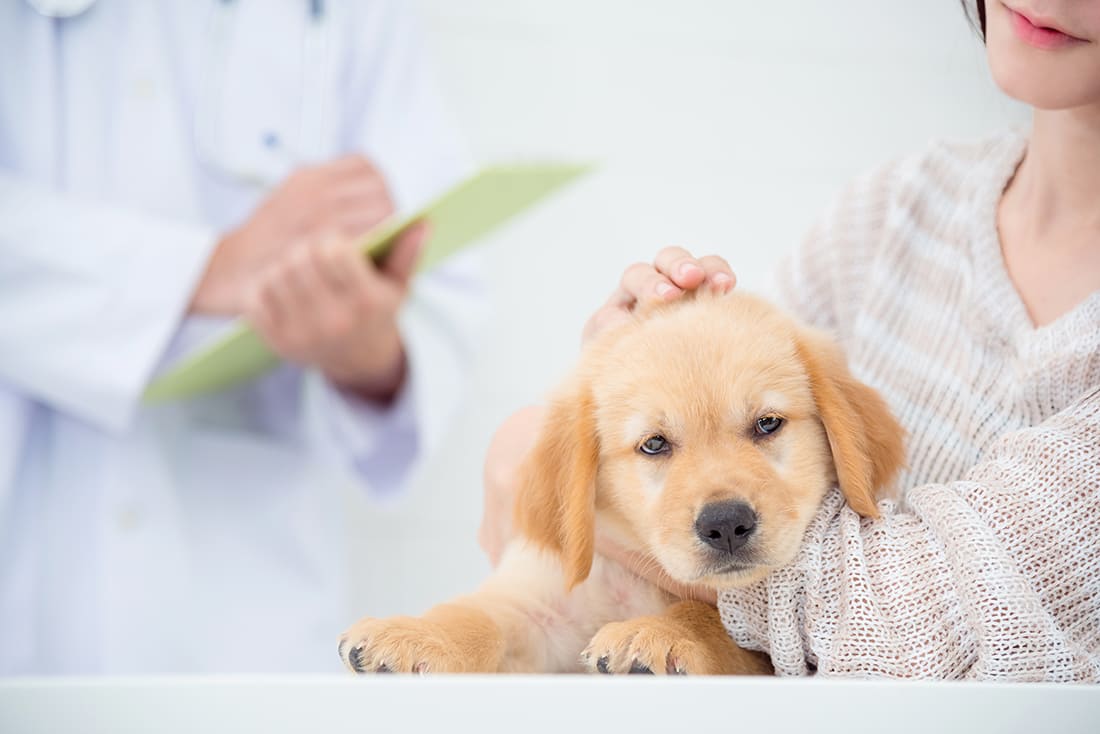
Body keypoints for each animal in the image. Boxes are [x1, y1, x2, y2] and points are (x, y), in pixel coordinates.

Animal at [338, 292, 906, 677]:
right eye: (653, 444)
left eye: (768, 425)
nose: (726, 525)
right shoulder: (544, 600)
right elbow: (478, 615)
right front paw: (413, 634)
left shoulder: (771, 655)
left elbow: (709, 619)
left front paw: (653, 634)